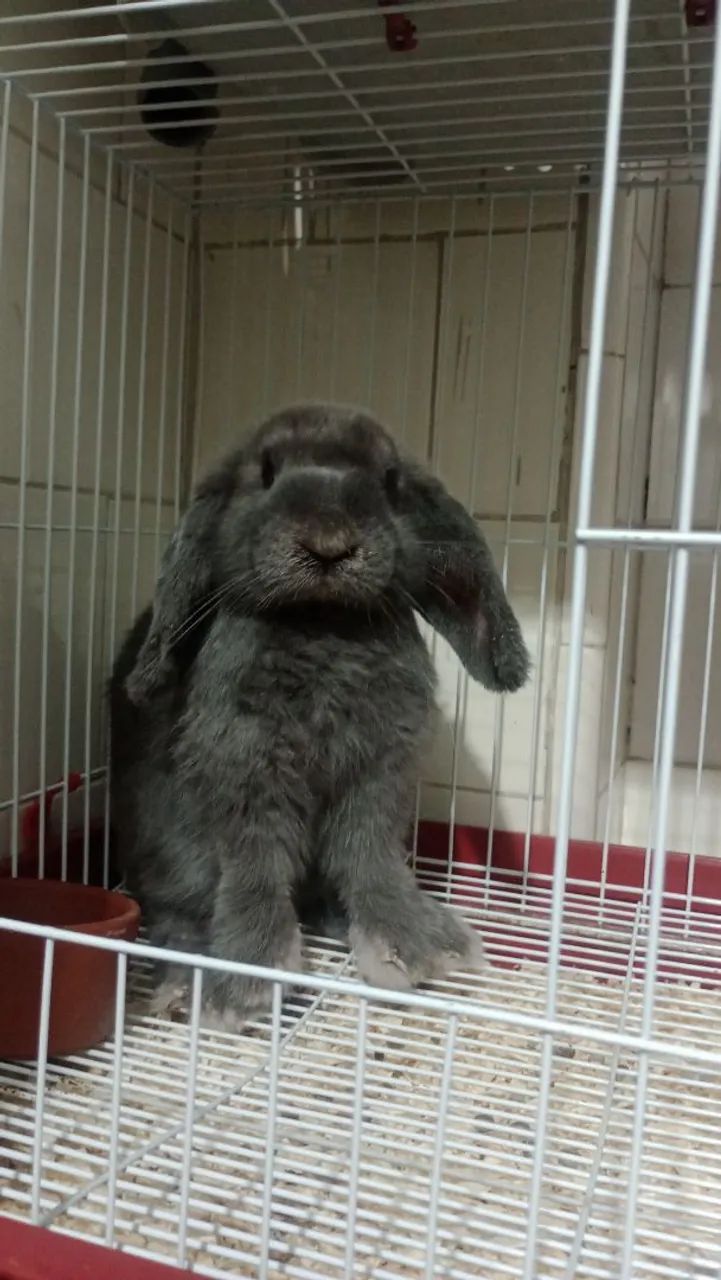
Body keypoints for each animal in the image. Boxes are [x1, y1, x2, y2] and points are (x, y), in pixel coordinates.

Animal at [109, 403, 529, 1026]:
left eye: (389, 480)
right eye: (264, 474)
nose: (329, 544)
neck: (323, 621)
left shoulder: (376, 778)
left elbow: (371, 859)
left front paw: (416, 950)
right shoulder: (246, 774)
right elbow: (255, 870)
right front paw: (250, 985)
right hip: (167, 856)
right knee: (175, 916)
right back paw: (184, 985)